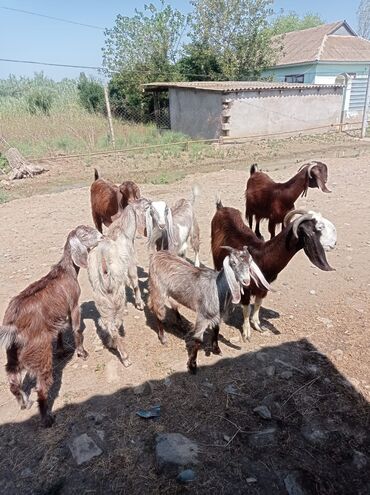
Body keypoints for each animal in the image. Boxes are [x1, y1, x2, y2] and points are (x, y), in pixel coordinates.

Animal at [0, 227, 102, 428]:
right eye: (84, 234)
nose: (102, 236)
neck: (66, 271)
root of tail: (13, 325)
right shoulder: (73, 305)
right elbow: (76, 329)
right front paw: (82, 353)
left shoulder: (58, 316)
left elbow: (61, 332)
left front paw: (62, 350)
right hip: (39, 353)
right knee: (41, 387)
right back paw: (47, 418)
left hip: (12, 355)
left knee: (13, 382)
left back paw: (25, 404)